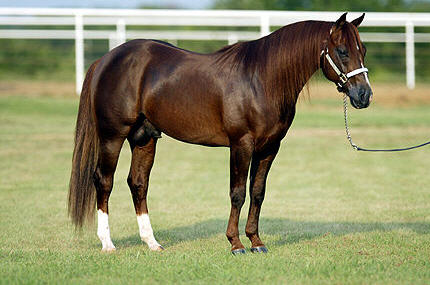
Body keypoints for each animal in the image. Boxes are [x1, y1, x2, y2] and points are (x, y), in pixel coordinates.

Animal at [68, 12, 372, 254]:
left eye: (363, 49)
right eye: (342, 50)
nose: (364, 95)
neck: (261, 79)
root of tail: (106, 59)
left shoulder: (269, 147)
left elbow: (258, 192)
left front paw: (256, 241)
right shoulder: (241, 145)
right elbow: (237, 193)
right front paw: (236, 244)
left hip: (144, 137)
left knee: (138, 183)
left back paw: (152, 242)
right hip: (112, 136)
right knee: (104, 181)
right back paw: (108, 244)